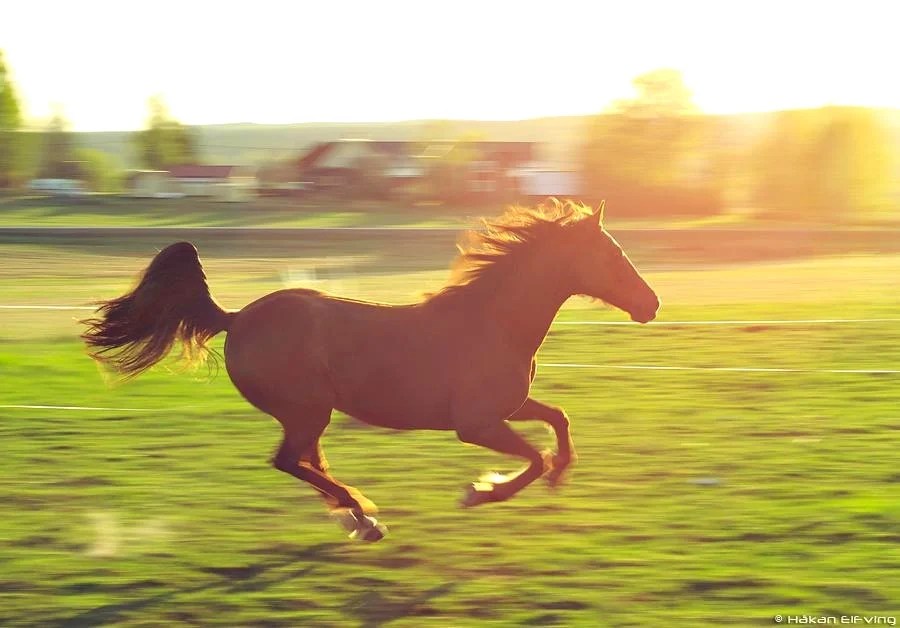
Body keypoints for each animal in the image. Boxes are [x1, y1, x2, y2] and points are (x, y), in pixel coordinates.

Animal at [81, 200, 659, 541]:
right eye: (614, 255)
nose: (651, 305)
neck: (493, 322)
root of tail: (237, 317)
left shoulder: (508, 407)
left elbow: (558, 418)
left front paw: (560, 474)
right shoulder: (476, 424)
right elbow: (534, 457)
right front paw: (480, 492)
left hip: (309, 416)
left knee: (308, 463)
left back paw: (360, 517)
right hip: (307, 412)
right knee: (291, 462)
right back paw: (362, 513)